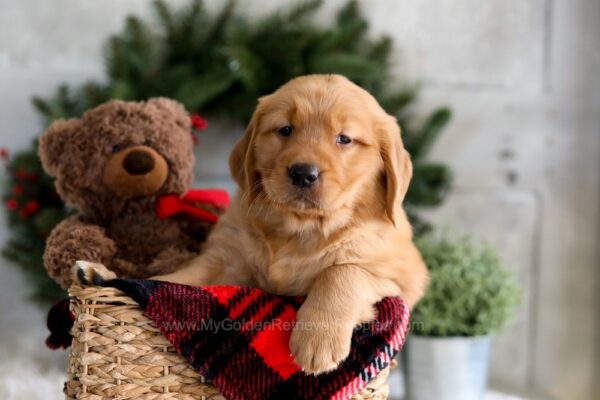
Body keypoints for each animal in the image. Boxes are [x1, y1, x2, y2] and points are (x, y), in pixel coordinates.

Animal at [77, 74, 428, 376]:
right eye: (285, 130)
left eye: (344, 139)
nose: (304, 173)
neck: (299, 229)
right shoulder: (227, 261)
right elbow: (173, 280)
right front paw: (108, 275)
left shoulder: (403, 276)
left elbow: (342, 271)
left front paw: (317, 339)